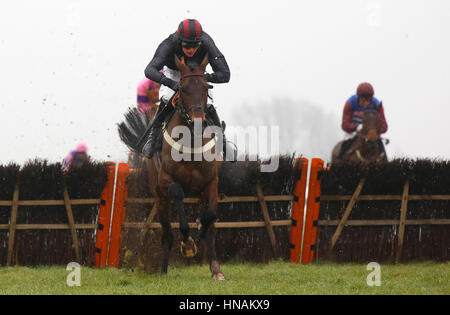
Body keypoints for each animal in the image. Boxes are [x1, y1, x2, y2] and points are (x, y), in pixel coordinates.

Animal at [119, 55, 225, 282]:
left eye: (206, 87)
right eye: (183, 89)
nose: (198, 122)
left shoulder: (211, 181)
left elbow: (210, 217)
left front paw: (202, 229)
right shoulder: (166, 180)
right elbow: (177, 194)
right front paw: (187, 243)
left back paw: (215, 268)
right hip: (159, 197)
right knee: (167, 233)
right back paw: (164, 269)